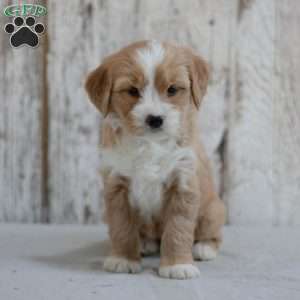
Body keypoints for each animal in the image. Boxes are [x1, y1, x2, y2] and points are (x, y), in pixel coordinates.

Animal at [84, 41, 225, 280]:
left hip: (213, 210)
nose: (155, 119)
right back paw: (145, 244)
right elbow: (121, 227)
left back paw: (204, 247)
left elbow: (178, 228)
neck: (150, 144)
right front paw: (123, 259)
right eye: (132, 91)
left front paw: (178, 265)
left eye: (172, 90)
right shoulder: (116, 186)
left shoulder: (183, 181)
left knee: (213, 233)